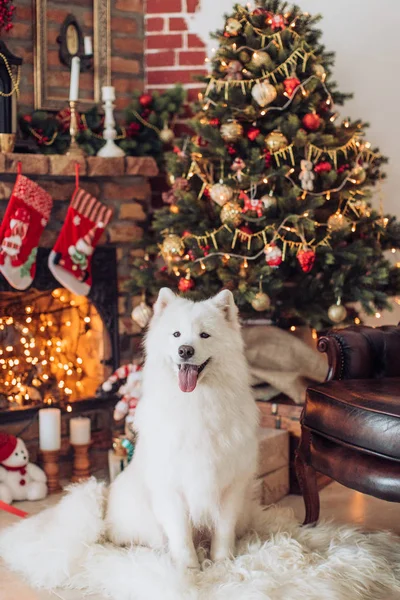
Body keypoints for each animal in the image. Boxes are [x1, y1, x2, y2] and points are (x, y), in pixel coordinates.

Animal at [107, 288, 260, 568]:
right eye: (176, 334)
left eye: (204, 335)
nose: (185, 350)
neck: (196, 401)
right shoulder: (171, 487)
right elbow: (180, 533)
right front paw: (189, 568)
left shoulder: (230, 487)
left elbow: (223, 529)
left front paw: (221, 562)